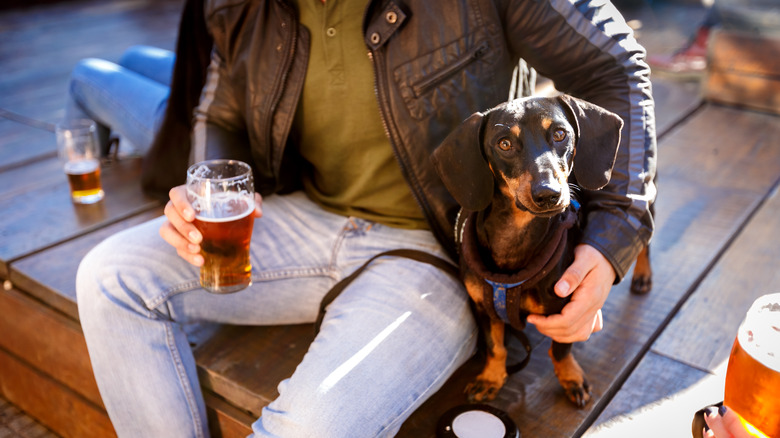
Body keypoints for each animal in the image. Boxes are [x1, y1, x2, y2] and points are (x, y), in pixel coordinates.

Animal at [432, 95, 652, 408]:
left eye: (560, 134)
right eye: (504, 144)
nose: (548, 194)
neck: (514, 237)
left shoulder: (566, 310)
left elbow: (560, 349)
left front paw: (571, 377)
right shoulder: (484, 308)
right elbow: (495, 346)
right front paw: (491, 378)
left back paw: (643, 275)